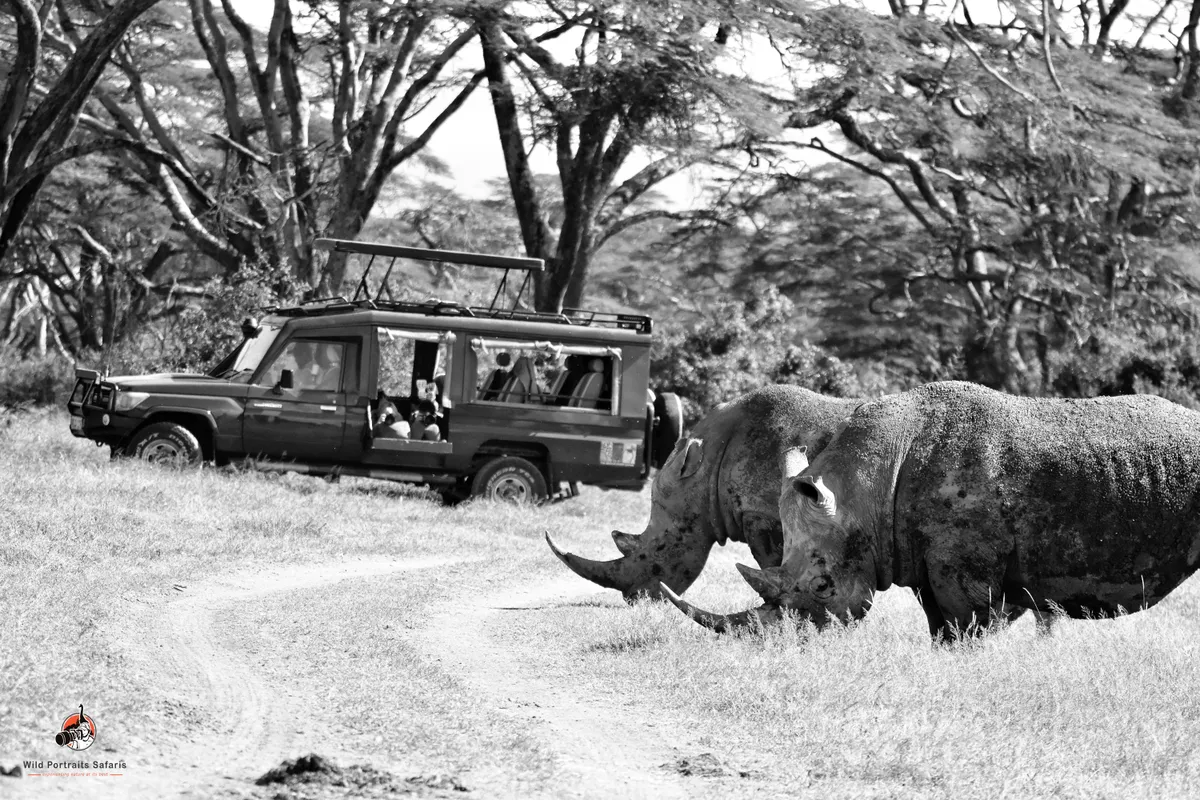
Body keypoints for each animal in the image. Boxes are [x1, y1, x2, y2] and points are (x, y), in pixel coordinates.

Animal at [665, 381, 1200, 640]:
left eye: (822, 588)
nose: (780, 642)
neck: (868, 488)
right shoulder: (919, 552)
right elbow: (939, 626)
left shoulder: (965, 565)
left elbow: (967, 627)